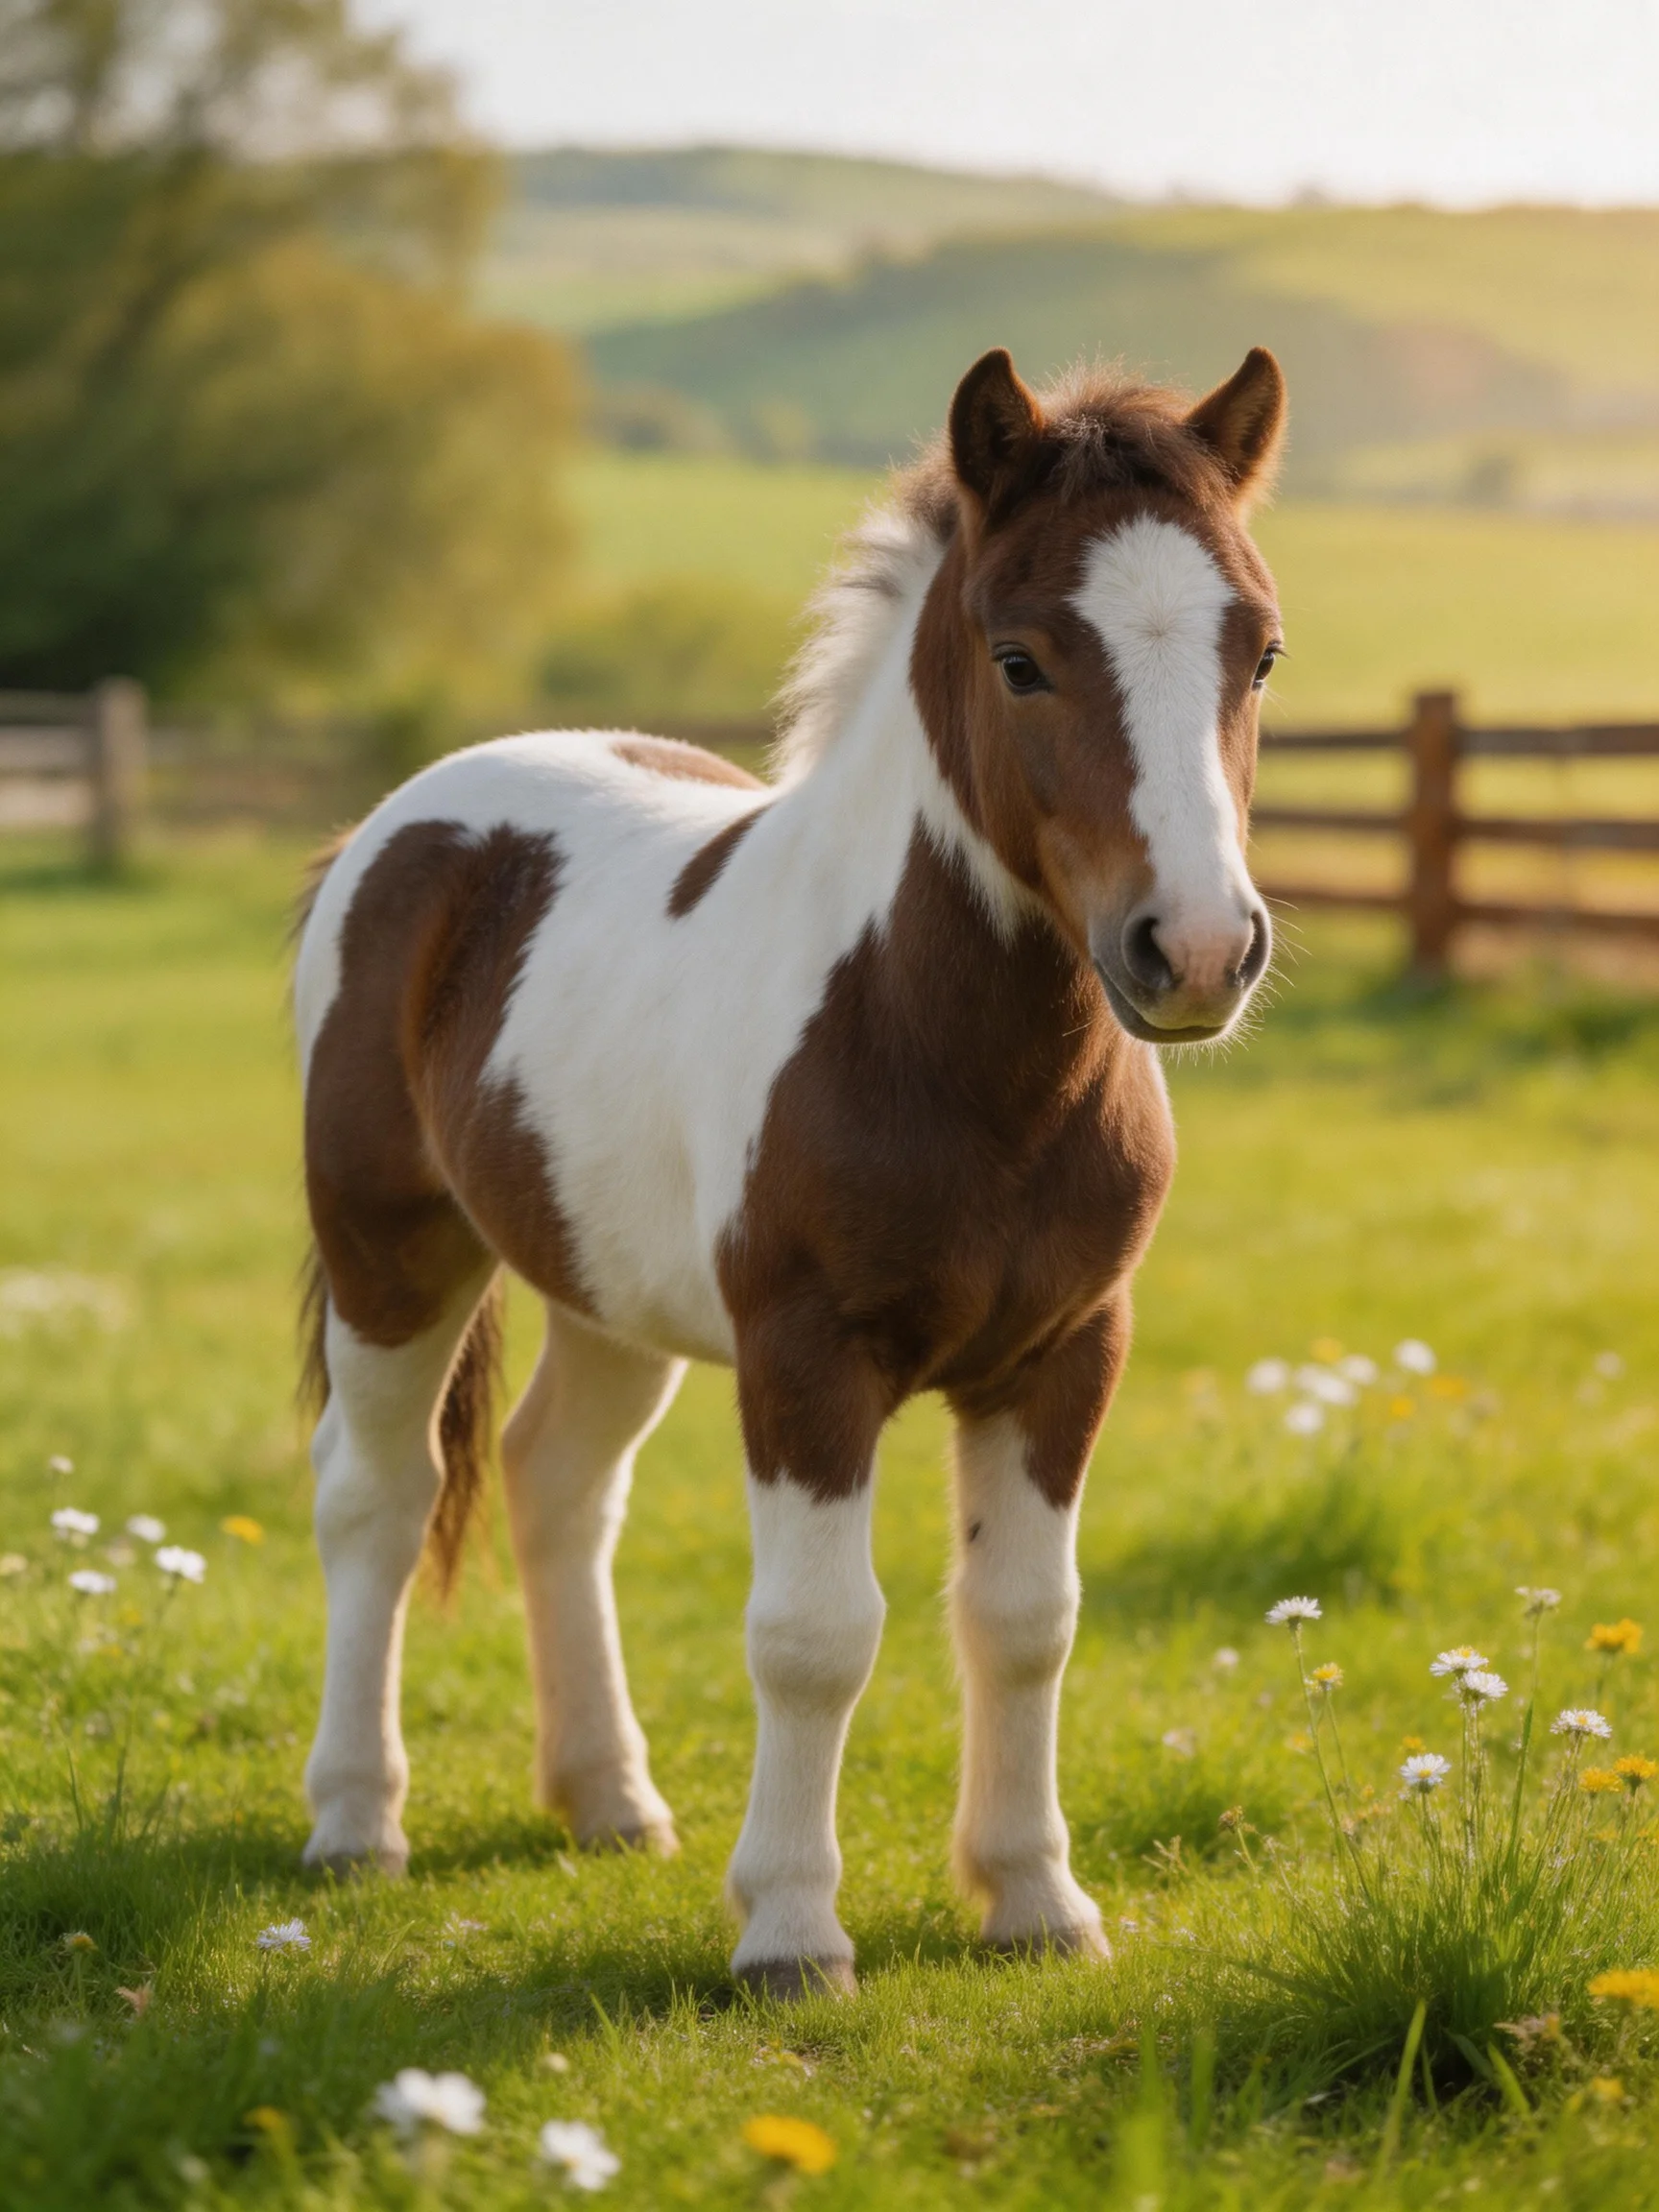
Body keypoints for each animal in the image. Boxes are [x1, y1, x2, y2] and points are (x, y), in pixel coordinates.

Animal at [292, 342, 1286, 1997]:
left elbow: (1025, 1616)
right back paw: (358, 1823)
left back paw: (610, 1801)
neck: (945, 1051)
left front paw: (1035, 1902)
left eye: (1258, 653)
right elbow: (816, 1634)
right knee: (379, 1495)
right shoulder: (808, 1355)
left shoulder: (1066, 1351)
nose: (1197, 951)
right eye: (1021, 658)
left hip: (607, 1291)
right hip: (393, 1253)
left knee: (556, 1483)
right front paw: (791, 1935)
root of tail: (401, 823)